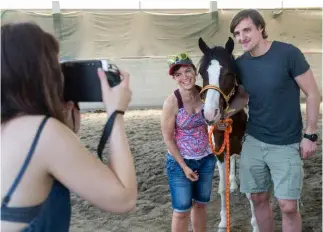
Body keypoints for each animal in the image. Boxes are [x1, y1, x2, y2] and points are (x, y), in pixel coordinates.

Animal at [199, 37, 260, 231]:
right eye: (202, 72)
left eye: (228, 73)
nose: (210, 114)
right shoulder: (219, 151)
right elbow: (221, 188)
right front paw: (222, 221)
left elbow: (251, 191)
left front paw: (256, 224)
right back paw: (233, 182)